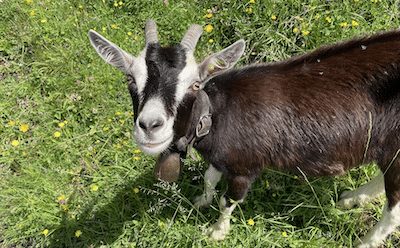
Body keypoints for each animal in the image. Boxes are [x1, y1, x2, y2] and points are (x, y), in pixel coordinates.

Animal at [89, 19, 400, 248]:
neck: (214, 115)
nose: (150, 126)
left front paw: (216, 231)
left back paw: (365, 241)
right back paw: (352, 199)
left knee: (394, 209)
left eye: (195, 85)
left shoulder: (245, 167)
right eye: (131, 79)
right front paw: (201, 201)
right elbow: (209, 177)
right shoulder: (220, 158)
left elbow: (229, 200)